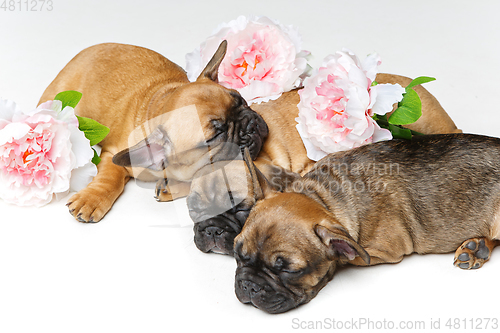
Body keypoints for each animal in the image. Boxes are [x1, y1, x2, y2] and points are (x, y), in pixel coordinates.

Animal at [38, 42, 270, 223]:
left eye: (241, 100)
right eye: (214, 136)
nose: (250, 125)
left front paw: (171, 186)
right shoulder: (113, 154)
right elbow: (110, 176)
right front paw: (92, 198)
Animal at [234, 134, 500, 312]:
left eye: (289, 270)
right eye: (237, 253)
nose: (249, 285)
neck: (323, 198)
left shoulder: (382, 250)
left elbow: (345, 257)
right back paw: (476, 247)